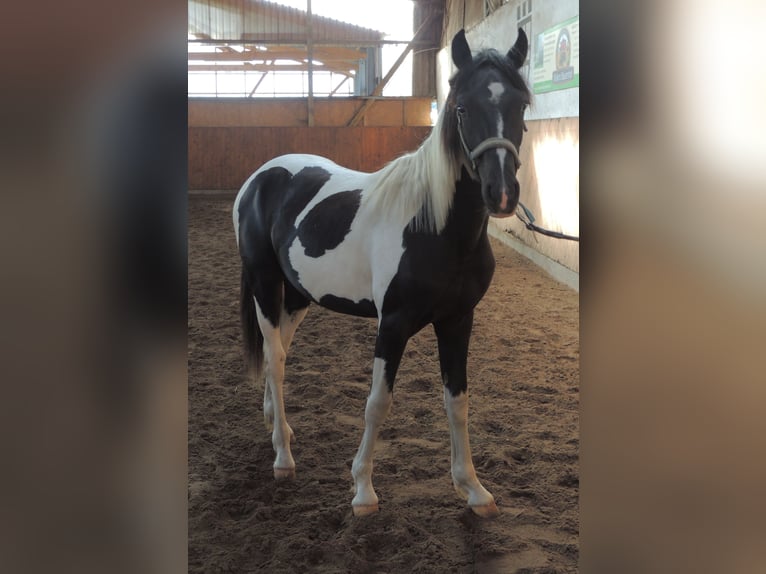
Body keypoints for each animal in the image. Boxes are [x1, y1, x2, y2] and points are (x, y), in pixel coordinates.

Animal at [234, 29, 532, 520]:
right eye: (462, 107)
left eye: (521, 105)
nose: (502, 193)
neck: (435, 227)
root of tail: (260, 176)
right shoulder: (392, 325)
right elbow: (377, 404)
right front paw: (363, 490)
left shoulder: (458, 321)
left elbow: (458, 402)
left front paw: (472, 488)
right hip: (264, 283)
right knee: (274, 358)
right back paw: (283, 456)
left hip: (298, 294)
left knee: (282, 349)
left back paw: (278, 424)